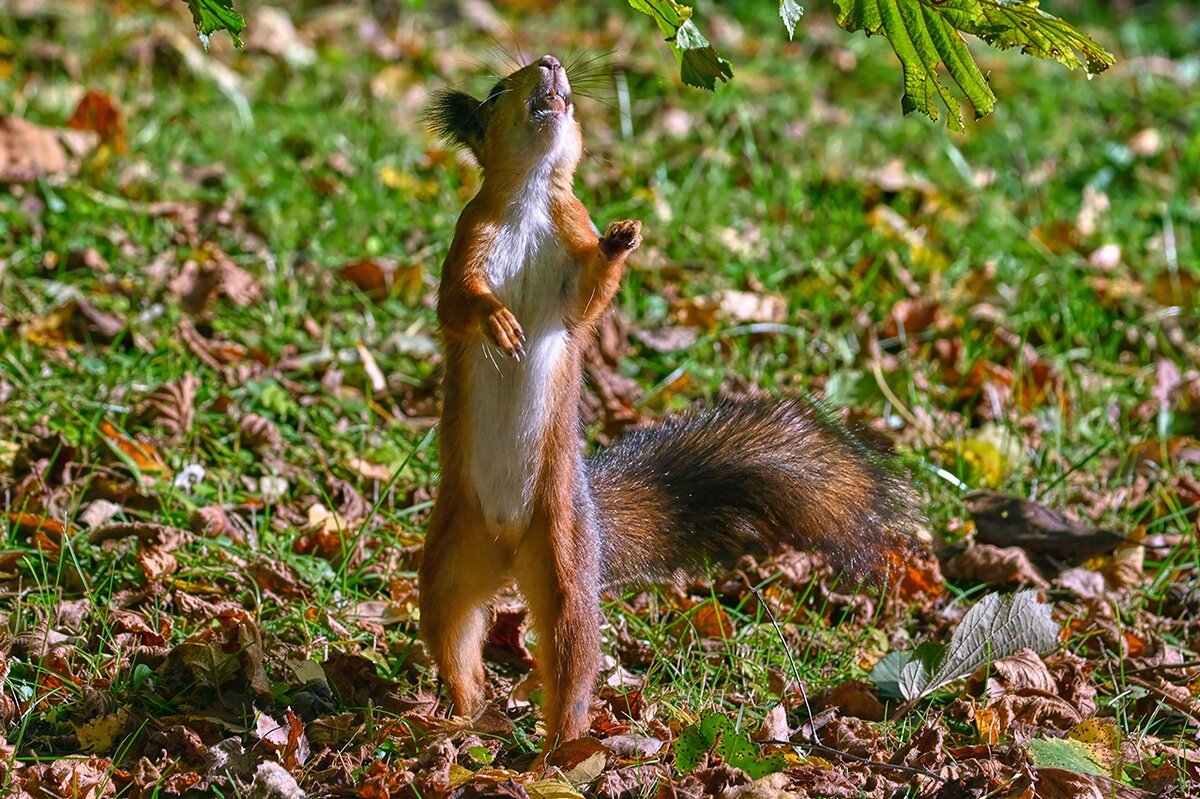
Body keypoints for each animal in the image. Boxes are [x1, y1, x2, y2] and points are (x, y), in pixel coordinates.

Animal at [420, 56, 916, 748]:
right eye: (496, 92)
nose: (551, 65)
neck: (530, 201)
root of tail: (507, 551)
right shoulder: (469, 239)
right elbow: (457, 303)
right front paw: (497, 321)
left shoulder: (571, 238)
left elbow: (588, 299)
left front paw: (620, 240)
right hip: (452, 558)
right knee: (453, 630)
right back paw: (465, 715)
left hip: (563, 558)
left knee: (570, 655)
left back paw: (559, 746)